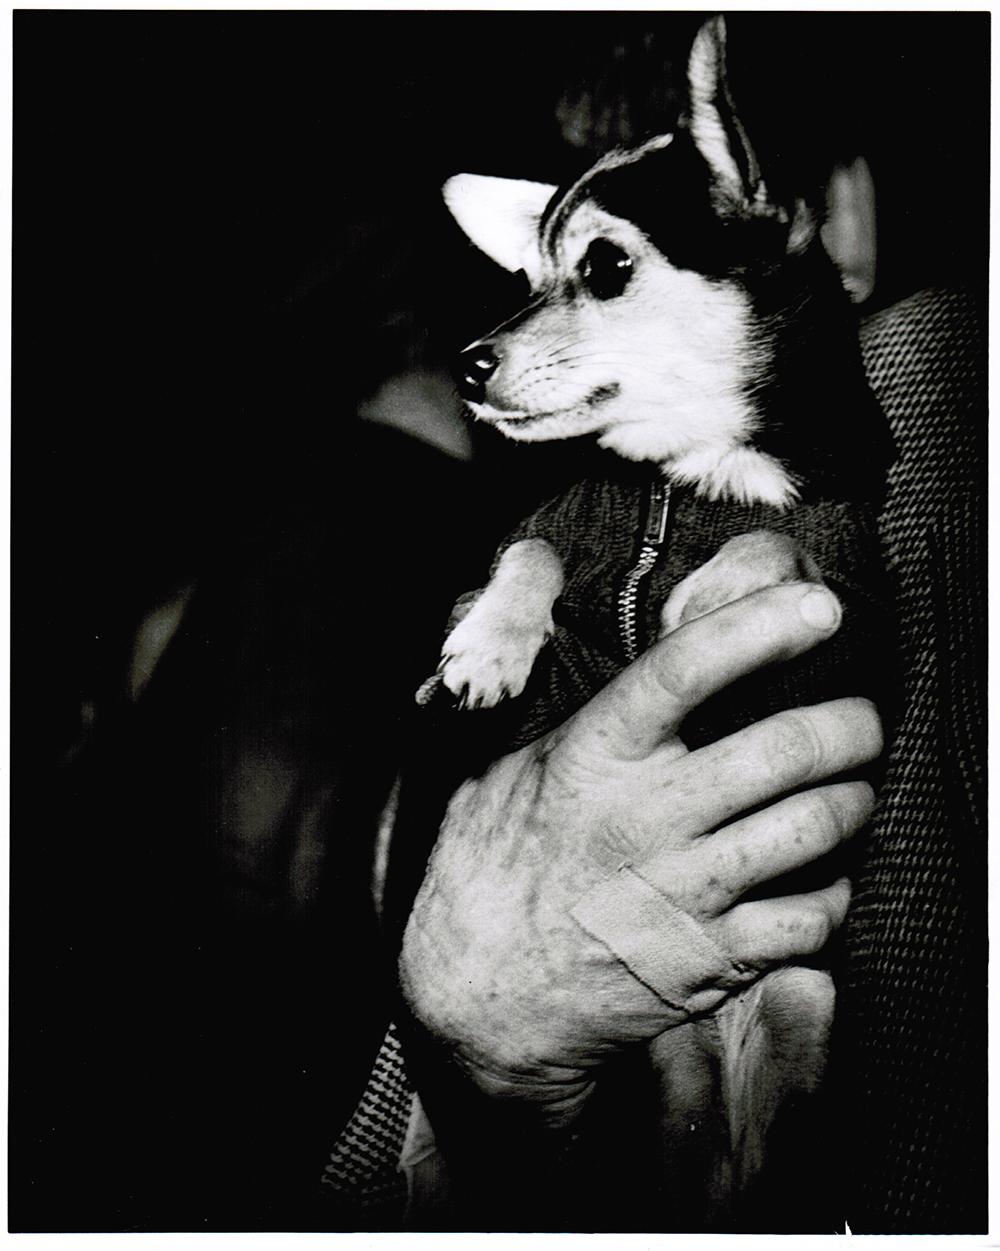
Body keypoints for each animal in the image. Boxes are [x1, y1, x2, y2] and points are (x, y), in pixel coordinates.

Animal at [415, 17, 891, 1230]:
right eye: (525, 279)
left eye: (604, 268)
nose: (468, 362)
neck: (678, 481)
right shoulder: (563, 531)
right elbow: (534, 544)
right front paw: (488, 646)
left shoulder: (833, 603)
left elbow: (769, 553)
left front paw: (693, 600)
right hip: (643, 1082)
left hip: (807, 1010)